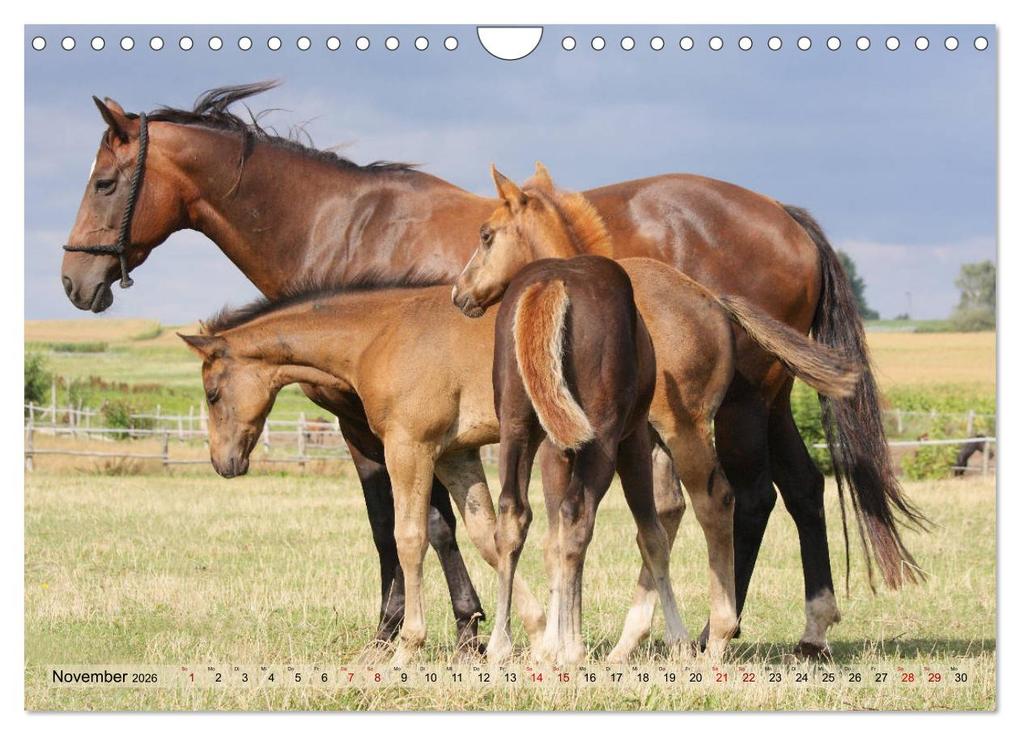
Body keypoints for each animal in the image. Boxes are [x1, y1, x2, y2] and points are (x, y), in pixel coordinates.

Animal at [488, 256, 685, 664]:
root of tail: (551, 284)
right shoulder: (633, 438)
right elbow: (652, 535)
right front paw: (680, 638)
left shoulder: (558, 449)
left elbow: (554, 542)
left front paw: (552, 642)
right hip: (602, 437)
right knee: (578, 515)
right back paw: (572, 650)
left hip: (515, 424)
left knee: (514, 512)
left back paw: (501, 643)